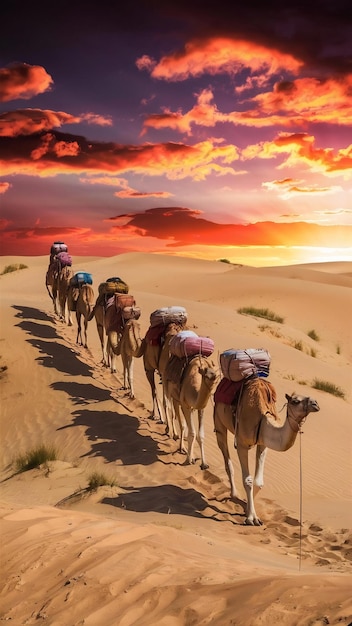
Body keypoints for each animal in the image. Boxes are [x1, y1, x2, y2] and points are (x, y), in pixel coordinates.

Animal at [213, 378, 320, 524]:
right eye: (295, 401)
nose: (315, 403)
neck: (263, 420)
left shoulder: (263, 444)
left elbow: (258, 483)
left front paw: (247, 509)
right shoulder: (241, 444)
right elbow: (248, 480)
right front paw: (252, 518)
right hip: (219, 421)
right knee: (227, 460)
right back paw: (233, 494)